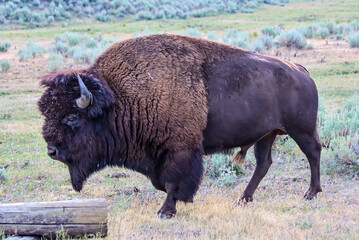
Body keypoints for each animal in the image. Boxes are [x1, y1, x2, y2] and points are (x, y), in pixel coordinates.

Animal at [39, 33, 324, 218]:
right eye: (46, 112)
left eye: (72, 118)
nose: (51, 151)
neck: (120, 96)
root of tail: (301, 70)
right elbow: (164, 183)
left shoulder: (179, 150)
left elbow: (173, 182)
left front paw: (166, 211)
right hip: (267, 134)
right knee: (264, 164)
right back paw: (242, 199)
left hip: (300, 129)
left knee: (313, 152)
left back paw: (311, 193)